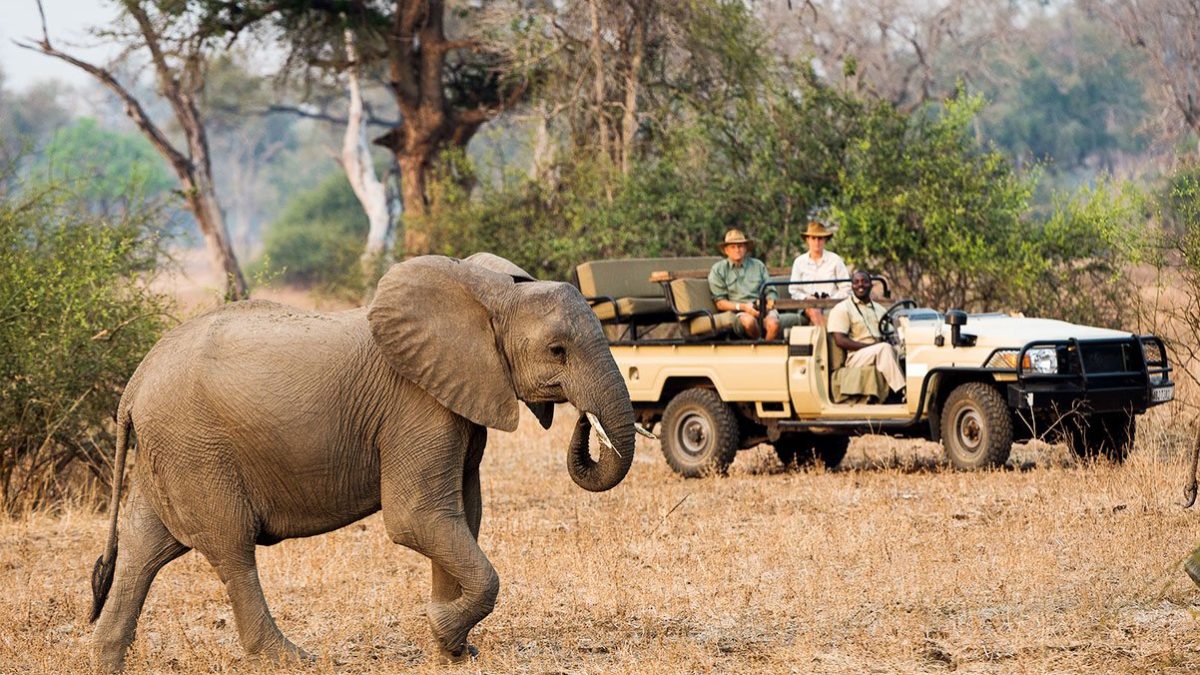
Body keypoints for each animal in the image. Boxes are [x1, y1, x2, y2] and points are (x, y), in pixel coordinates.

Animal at [88, 251, 643, 667]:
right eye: (557, 351)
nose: (583, 421)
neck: (488, 293)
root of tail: (134, 385)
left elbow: (463, 512)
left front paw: (452, 651)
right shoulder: (416, 404)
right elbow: (417, 517)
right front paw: (443, 630)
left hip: (171, 448)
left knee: (143, 547)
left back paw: (107, 658)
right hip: (195, 447)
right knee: (232, 548)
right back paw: (292, 659)